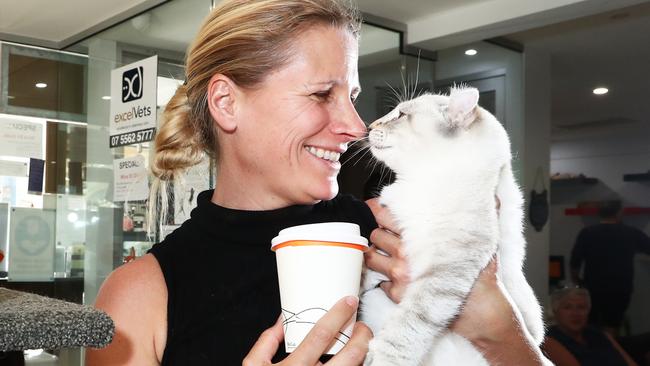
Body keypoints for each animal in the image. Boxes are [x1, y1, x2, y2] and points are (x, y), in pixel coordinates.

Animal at [356, 87, 548, 364]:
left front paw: (384, 358)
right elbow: (369, 262)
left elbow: (410, 324)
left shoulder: (447, 267)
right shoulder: (391, 231)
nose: (368, 127)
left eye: (401, 115)